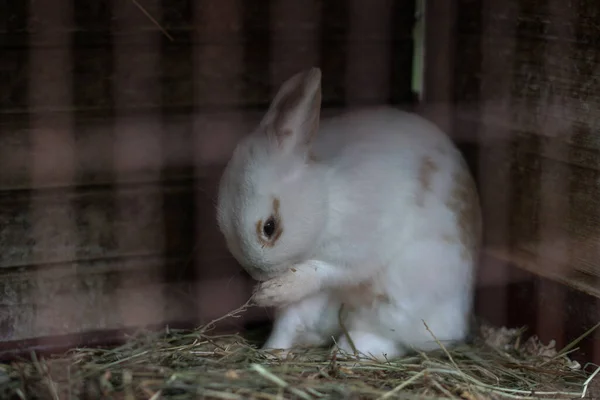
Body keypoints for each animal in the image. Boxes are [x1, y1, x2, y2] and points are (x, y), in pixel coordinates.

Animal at [216, 67, 482, 360]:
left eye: (269, 227)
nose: (258, 275)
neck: (326, 197)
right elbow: (290, 319)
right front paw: (270, 323)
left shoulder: (357, 248)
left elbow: (326, 270)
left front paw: (276, 290)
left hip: (399, 302)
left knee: (392, 338)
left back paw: (349, 350)